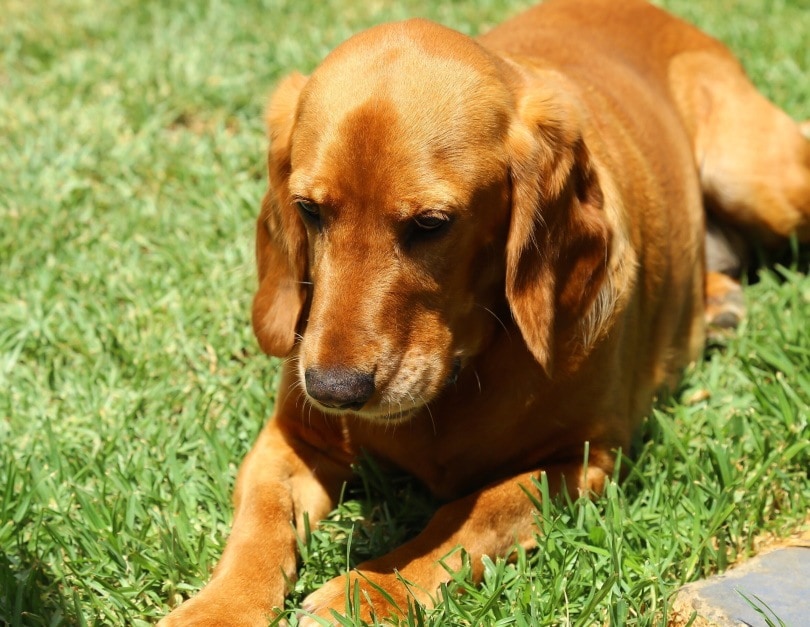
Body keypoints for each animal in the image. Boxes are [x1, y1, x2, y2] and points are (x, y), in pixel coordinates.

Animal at [159, 0, 808, 624]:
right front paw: (218, 608)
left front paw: (372, 590)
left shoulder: (585, 460)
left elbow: (473, 513)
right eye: (309, 210)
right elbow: (258, 525)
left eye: (431, 224)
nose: (333, 390)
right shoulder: (291, 439)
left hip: (756, 176)